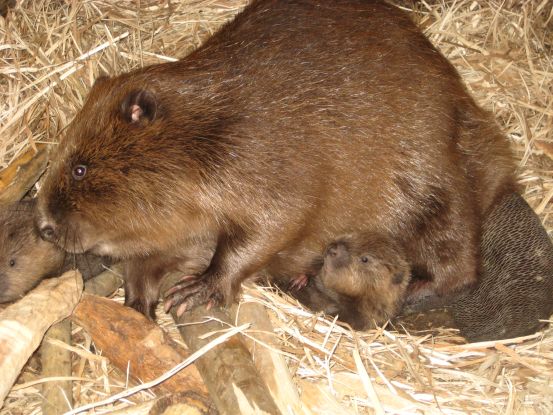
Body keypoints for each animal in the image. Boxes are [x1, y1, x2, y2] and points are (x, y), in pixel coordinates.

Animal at [35, 0, 512, 316]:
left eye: (80, 168)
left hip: (432, 177)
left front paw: (197, 290)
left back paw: (418, 290)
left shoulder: (257, 156)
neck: (205, 126)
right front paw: (139, 305)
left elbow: (277, 220)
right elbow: (150, 260)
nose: (45, 228)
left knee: (459, 256)